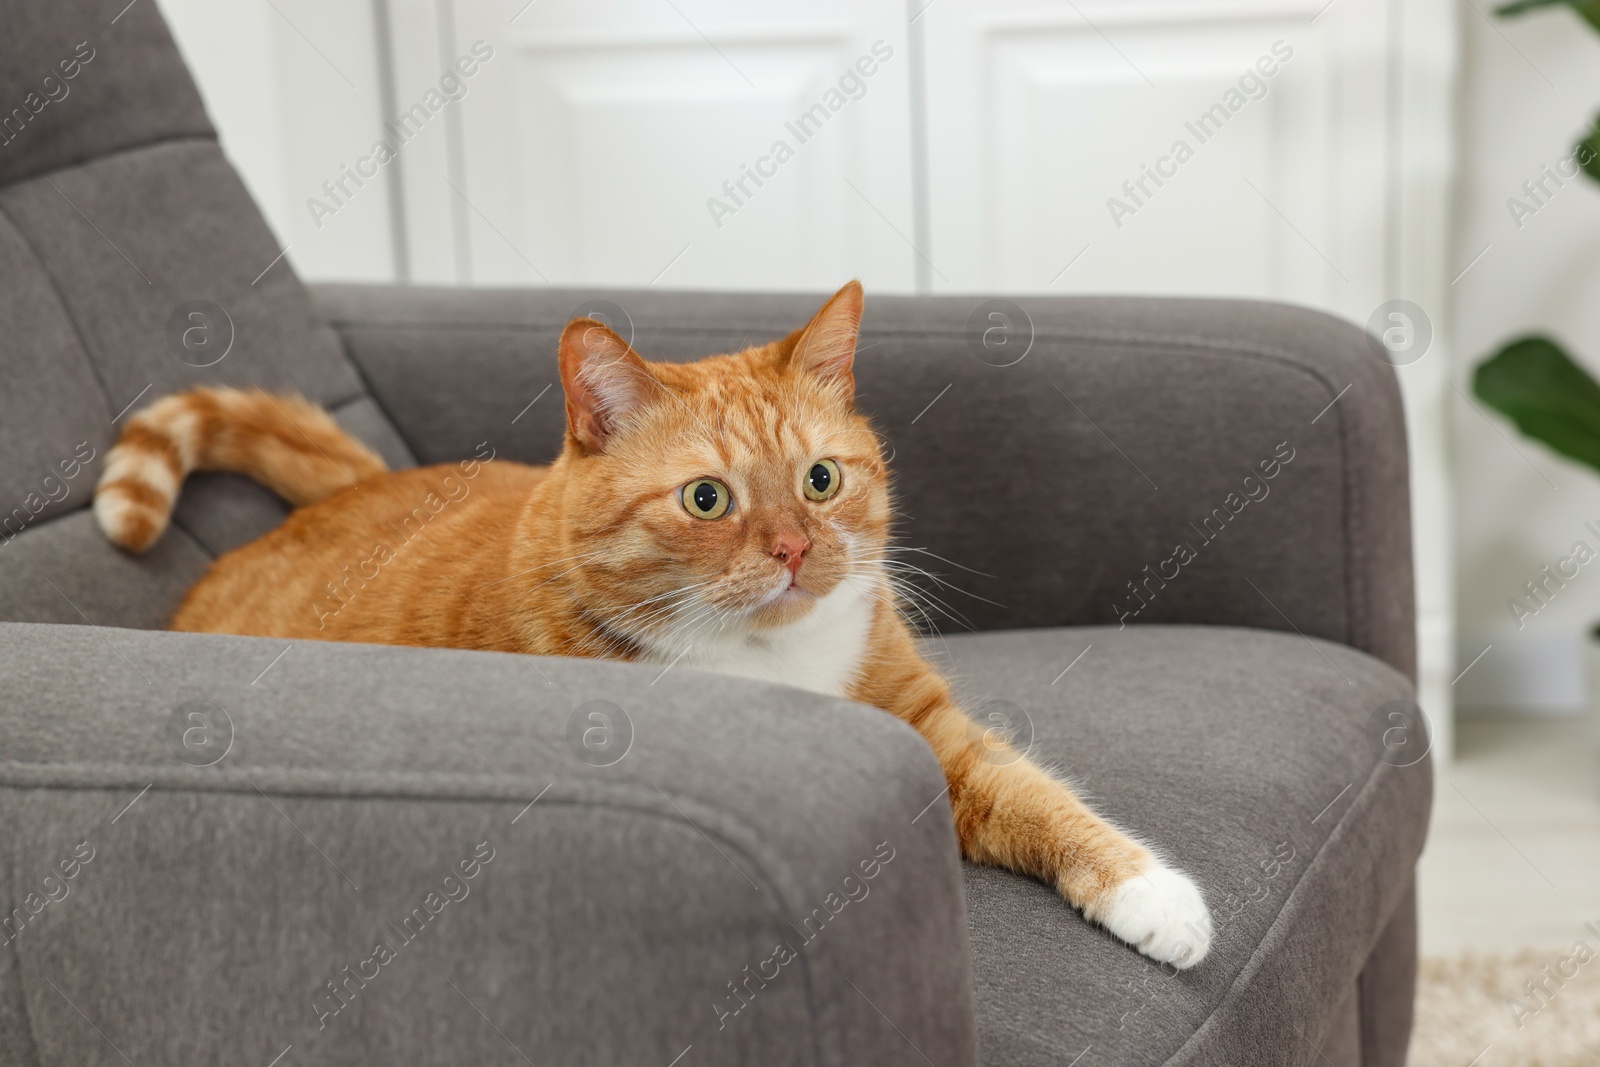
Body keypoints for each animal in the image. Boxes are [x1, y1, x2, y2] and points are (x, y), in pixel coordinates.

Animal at [96, 281, 1209, 966]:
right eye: (707, 498)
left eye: (821, 478)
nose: (793, 548)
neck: (771, 656)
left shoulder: (929, 728)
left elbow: (1040, 797)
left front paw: (1154, 894)